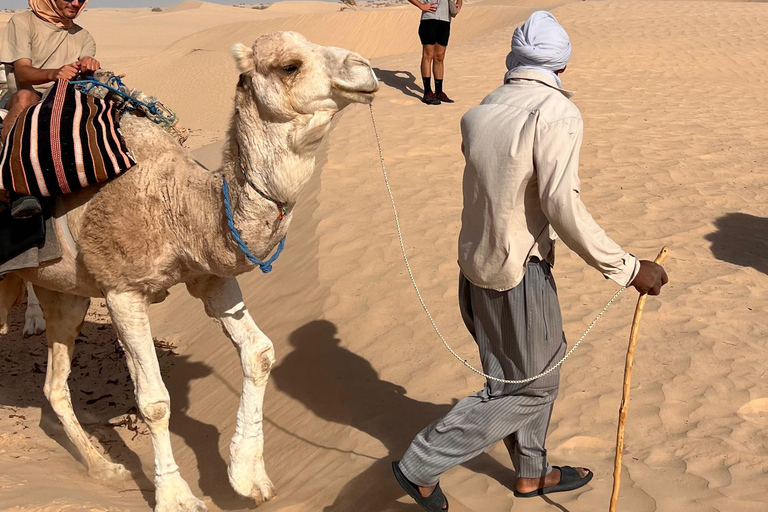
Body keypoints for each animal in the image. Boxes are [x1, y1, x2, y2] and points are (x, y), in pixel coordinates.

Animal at [0, 33, 378, 512]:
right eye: (290, 65)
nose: (365, 68)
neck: (177, 204)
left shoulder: (211, 277)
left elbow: (259, 352)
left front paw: (247, 476)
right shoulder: (122, 291)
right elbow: (155, 400)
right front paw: (177, 497)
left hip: (65, 293)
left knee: (54, 384)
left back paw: (106, 469)